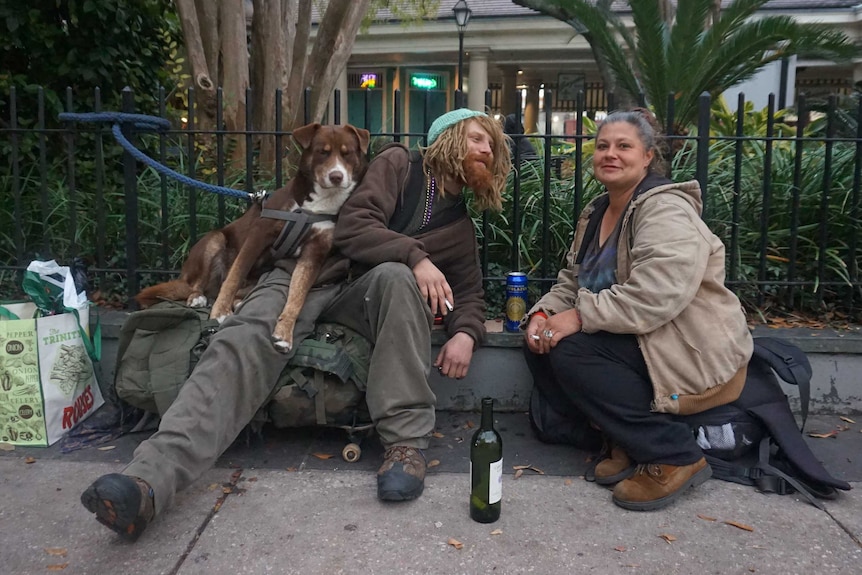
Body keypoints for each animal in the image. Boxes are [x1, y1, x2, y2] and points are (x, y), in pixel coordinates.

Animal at [136, 122, 372, 352]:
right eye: (322, 152)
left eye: (347, 153)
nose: (336, 176)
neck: (314, 207)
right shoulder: (259, 234)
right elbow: (234, 275)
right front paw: (219, 311)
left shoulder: (315, 252)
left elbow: (297, 295)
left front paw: (284, 333)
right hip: (215, 240)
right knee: (197, 283)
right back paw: (198, 297)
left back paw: (238, 302)